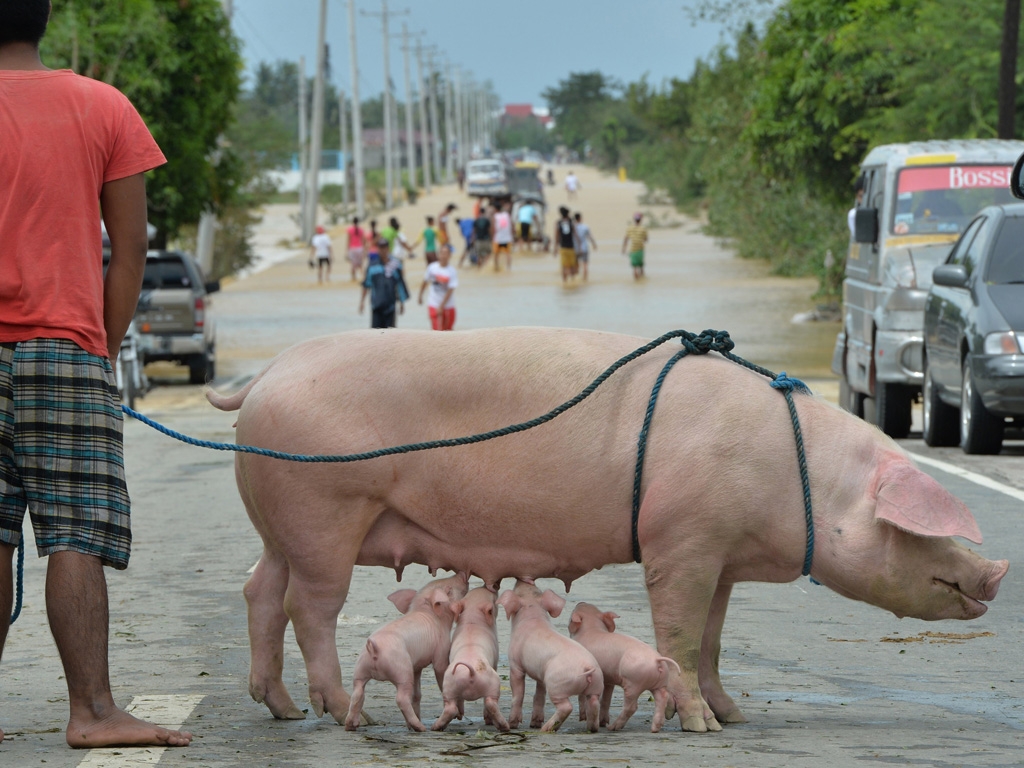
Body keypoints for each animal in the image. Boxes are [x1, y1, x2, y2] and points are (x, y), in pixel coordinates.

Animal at [346, 577, 468, 733]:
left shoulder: (416, 666)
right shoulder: (441, 649)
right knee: (401, 698)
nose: (463, 576)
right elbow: (441, 670)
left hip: (360, 668)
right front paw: (459, 714)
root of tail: (374, 648)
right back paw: (420, 728)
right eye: (448, 589)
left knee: (357, 693)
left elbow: (417, 694)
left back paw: (350, 726)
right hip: (401, 669)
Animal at [434, 585, 509, 729]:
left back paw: (436, 727)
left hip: (449, 685)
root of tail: (471, 672)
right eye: (494, 600)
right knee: (490, 702)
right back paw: (504, 726)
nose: (487, 586)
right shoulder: (496, 656)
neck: (472, 620)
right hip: (493, 681)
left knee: (451, 707)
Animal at [497, 581, 602, 733]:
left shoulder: (515, 663)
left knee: (566, 707)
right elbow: (539, 694)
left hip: (557, 684)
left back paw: (545, 729)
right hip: (597, 684)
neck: (534, 616)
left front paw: (513, 725)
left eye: (518, 592)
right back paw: (591, 729)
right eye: (537, 590)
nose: (522, 581)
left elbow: (518, 693)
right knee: (594, 702)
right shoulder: (540, 674)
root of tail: (587, 667)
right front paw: (534, 723)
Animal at [569, 602, 679, 733]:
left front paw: (583, 718)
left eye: (572, 613)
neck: (591, 628)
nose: (581, 602)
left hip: (633, 682)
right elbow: (605, 699)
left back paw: (613, 727)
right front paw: (602, 722)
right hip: (660, 683)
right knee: (662, 698)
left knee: (632, 706)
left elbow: (582, 695)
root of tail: (656, 660)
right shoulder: (608, 678)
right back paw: (654, 729)